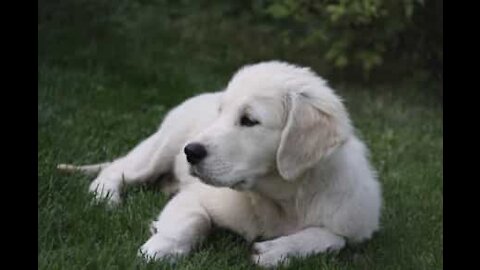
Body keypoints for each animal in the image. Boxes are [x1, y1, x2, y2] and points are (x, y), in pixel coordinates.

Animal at [58, 60, 382, 266]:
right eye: (221, 112)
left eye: (249, 120)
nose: (191, 152)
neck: (280, 199)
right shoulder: (195, 196)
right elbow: (192, 219)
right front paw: (158, 249)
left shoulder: (354, 224)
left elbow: (333, 238)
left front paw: (277, 250)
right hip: (162, 146)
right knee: (116, 169)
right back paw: (106, 197)